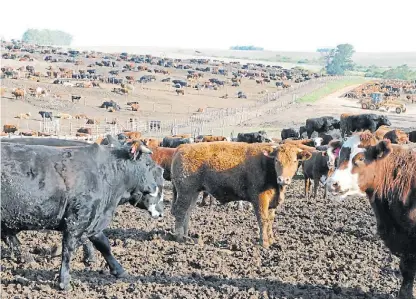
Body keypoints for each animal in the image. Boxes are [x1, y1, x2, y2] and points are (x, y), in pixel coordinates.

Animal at [1, 141, 164, 290]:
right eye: (148, 164)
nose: (161, 211)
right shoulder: (77, 220)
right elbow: (68, 249)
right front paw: (64, 282)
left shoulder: (94, 220)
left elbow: (104, 244)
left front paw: (119, 270)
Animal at [171, 143, 310, 248]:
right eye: (276, 160)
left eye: (294, 160)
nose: (283, 179)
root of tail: (182, 147)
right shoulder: (260, 199)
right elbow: (263, 219)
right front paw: (264, 243)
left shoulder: (272, 203)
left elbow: (270, 220)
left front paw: (271, 241)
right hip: (185, 192)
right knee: (180, 211)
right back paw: (179, 237)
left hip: (194, 192)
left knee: (188, 212)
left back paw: (187, 236)